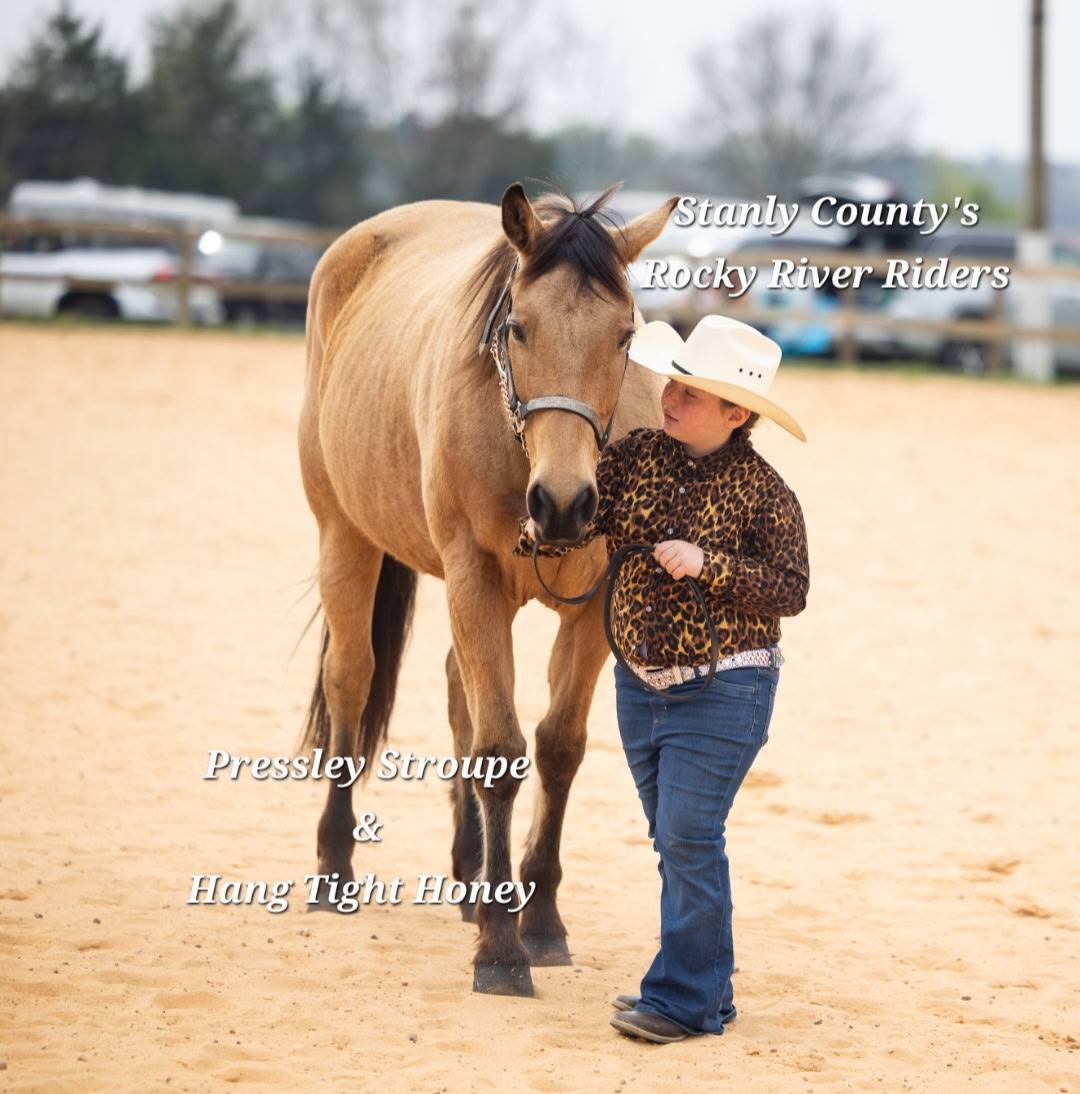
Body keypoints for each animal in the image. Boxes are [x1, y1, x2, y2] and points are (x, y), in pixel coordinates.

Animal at [297, 181, 677, 996]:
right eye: (520, 330)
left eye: (624, 337)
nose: (564, 504)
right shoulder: (472, 579)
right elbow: (499, 750)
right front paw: (501, 949)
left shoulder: (593, 609)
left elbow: (558, 747)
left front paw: (540, 919)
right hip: (343, 533)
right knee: (351, 679)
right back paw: (335, 866)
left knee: (453, 693)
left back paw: (472, 874)